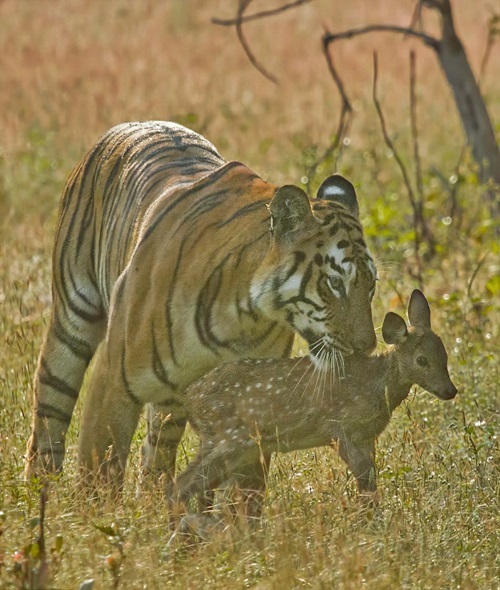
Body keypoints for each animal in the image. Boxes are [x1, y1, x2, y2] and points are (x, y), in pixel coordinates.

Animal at [23, 122, 376, 506]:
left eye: (371, 285)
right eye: (335, 284)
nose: (367, 347)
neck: (243, 317)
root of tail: (129, 126)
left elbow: (245, 489)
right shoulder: (113, 380)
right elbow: (99, 470)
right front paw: (96, 520)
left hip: (173, 397)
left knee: (157, 451)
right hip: (71, 325)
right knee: (49, 418)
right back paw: (37, 496)